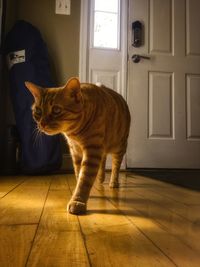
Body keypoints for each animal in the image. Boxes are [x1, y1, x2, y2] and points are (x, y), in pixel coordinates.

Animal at [25, 78, 130, 216]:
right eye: (38, 111)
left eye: (56, 110)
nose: (42, 123)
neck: (74, 133)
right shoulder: (75, 152)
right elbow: (78, 174)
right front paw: (77, 191)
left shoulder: (92, 150)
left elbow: (84, 179)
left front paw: (78, 201)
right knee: (103, 161)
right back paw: (101, 178)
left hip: (119, 146)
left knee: (115, 166)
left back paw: (114, 182)